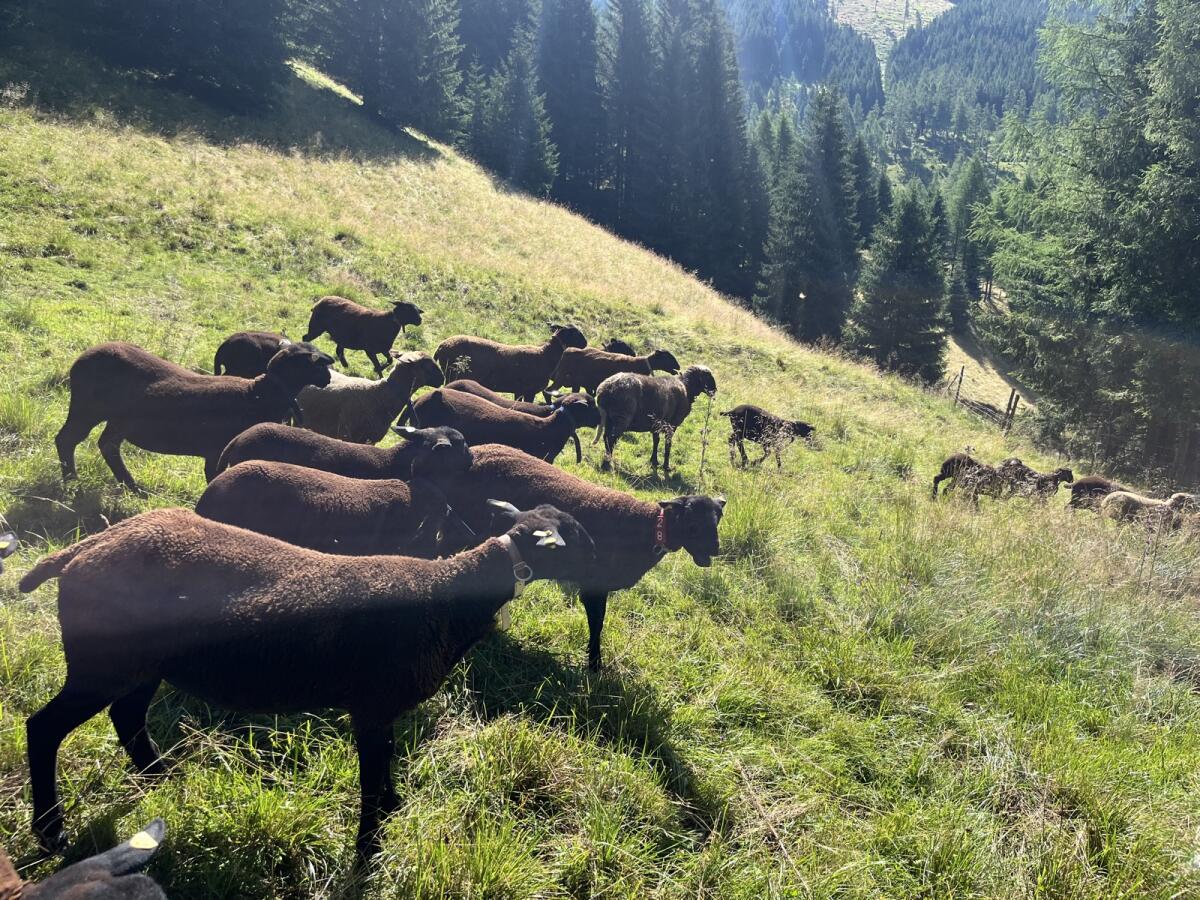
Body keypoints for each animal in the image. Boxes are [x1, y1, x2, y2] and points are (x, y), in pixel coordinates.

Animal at [19, 504, 595, 857]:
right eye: (575, 537)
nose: (602, 562)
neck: (446, 598)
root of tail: (83, 549)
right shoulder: (372, 703)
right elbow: (370, 777)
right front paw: (369, 847)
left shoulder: (381, 708)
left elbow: (386, 764)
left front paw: (392, 810)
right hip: (102, 663)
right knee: (42, 728)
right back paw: (51, 834)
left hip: (141, 665)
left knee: (127, 715)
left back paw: (163, 780)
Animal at [55, 342, 334, 491]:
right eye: (317, 363)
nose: (329, 378)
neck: (257, 394)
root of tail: (82, 358)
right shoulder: (218, 451)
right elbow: (214, 478)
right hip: (87, 408)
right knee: (66, 440)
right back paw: (73, 484)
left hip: (117, 419)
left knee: (107, 445)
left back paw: (132, 487)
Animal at [433, 323, 587, 401]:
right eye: (575, 333)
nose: (585, 343)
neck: (545, 355)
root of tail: (441, 347)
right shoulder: (529, 391)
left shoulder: (519, 391)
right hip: (453, 375)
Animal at [438, 443, 725, 670]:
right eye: (693, 523)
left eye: (718, 519)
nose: (715, 549)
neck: (647, 528)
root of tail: (474, 452)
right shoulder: (593, 585)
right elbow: (597, 624)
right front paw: (594, 665)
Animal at [545, 347, 681, 396]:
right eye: (667, 357)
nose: (679, 367)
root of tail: (567, 350)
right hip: (562, 377)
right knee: (548, 390)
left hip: (572, 381)